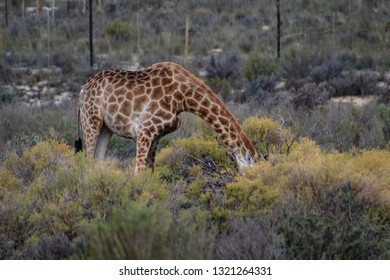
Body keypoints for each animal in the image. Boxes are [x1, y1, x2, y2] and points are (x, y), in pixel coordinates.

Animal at [77, 62, 258, 174]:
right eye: (251, 174)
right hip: (91, 121)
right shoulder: (144, 131)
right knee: (87, 160)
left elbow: (150, 173)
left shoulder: (156, 136)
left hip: (105, 128)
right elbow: (139, 173)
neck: (183, 98)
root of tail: (83, 88)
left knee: (98, 162)